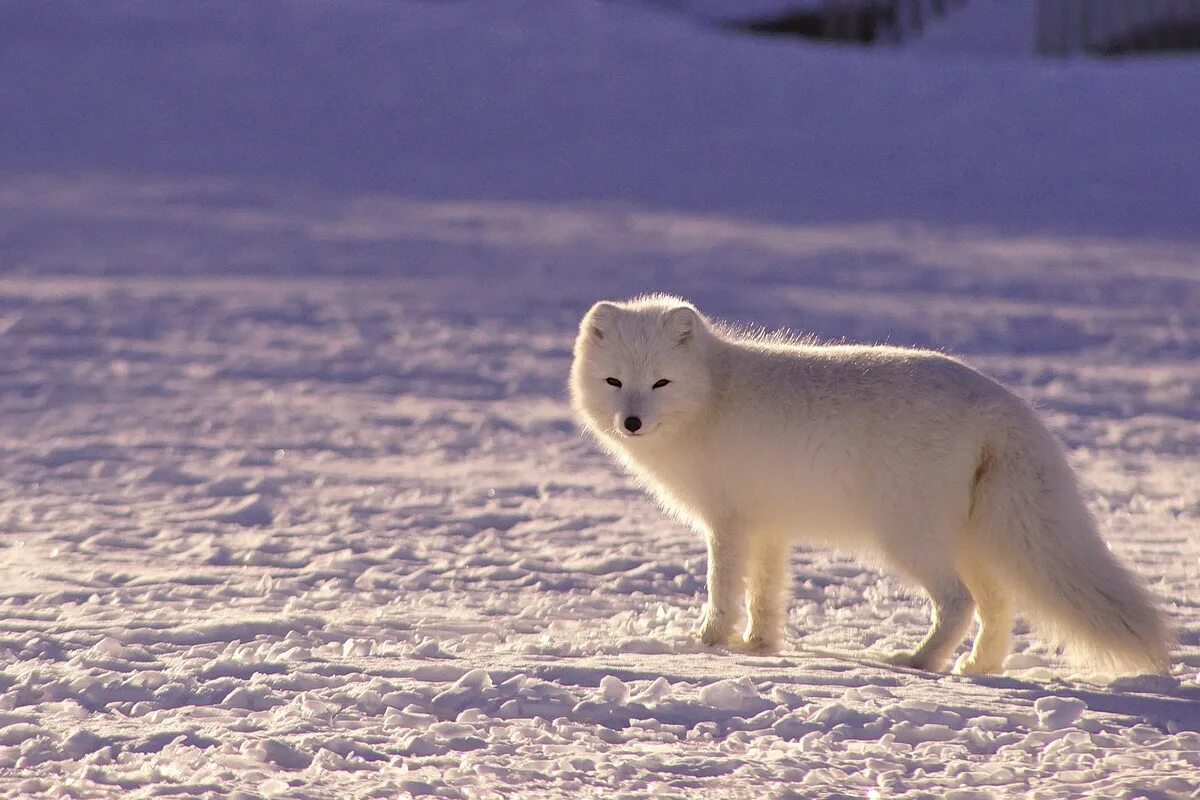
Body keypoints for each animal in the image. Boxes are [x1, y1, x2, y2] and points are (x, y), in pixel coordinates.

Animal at [571, 296, 1171, 676]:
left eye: (661, 383)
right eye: (615, 382)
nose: (631, 422)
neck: (713, 396)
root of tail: (1004, 404)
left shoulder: (729, 524)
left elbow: (723, 591)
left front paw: (707, 644)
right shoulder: (769, 527)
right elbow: (766, 594)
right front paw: (760, 647)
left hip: (907, 537)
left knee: (959, 603)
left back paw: (920, 662)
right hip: (972, 541)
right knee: (998, 606)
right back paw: (978, 667)